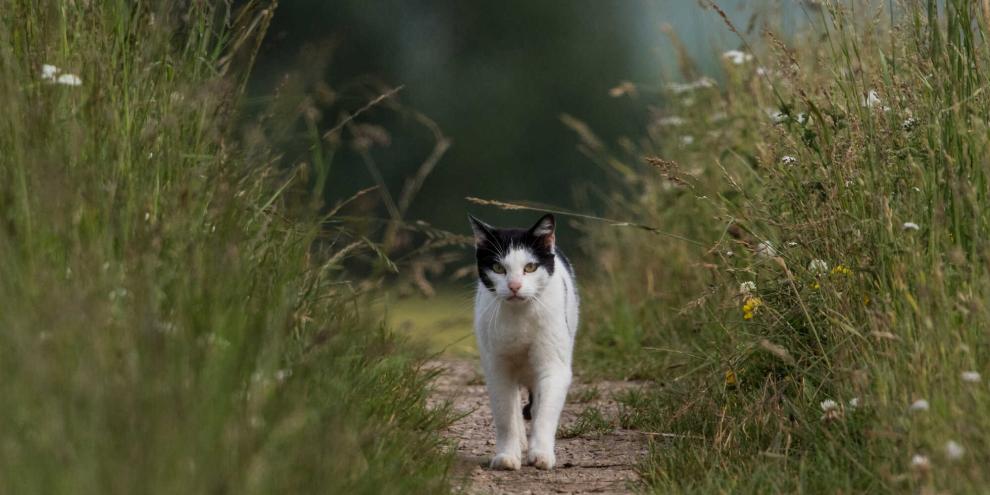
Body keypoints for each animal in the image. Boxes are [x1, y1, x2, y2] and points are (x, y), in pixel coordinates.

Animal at [468, 214, 576, 472]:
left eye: (530, 267)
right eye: (498, 268)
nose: (514, 286)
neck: (520, 318)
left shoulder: (553, 366)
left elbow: (545, 413)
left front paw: (541, 455)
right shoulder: (497, 368)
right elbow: (505, 415)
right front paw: (507, 455)